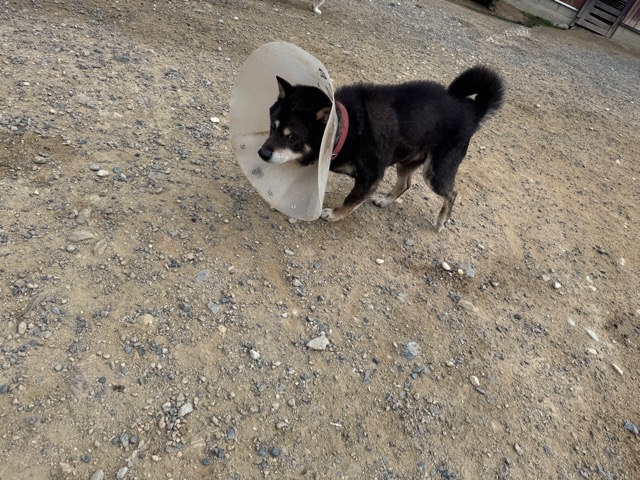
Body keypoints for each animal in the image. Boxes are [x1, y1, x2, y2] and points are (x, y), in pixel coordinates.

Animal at [258, 66, 505, 231]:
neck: (348, 128)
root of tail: (472, 109)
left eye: (293, 137)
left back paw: (442, 220)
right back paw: (386, 200)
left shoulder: (370, 177)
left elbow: (350, 200)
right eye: (273, 126)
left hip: (434, 172)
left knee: (452, 193)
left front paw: (334, 214)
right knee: (405, 183)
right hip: (407, 161)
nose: (262, 153)